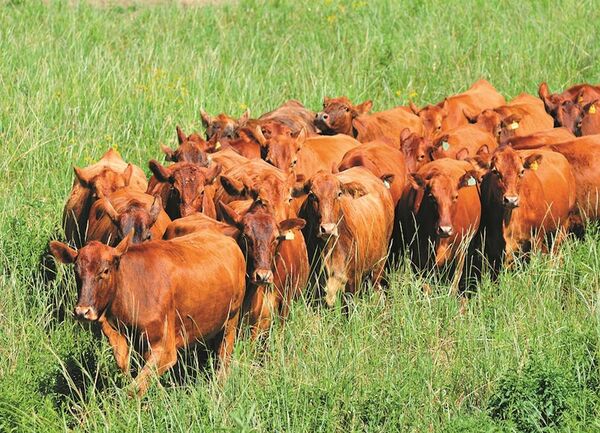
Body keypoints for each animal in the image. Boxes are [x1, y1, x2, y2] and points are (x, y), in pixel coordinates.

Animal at [49, 231, 245, 396]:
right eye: (76, 271)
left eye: (105, 271)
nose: (82, 311)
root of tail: (227, 240)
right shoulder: (119, 335)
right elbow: (127, 368)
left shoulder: (165, 348)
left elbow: (134, 388)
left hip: (231, 321)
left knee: (224, 354)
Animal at [398, 157, 482, 292]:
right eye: (431, 197)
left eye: (456, 197)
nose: (445, 229)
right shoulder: (417, 253)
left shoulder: (460, 249)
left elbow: (454, 283)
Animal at [474, 145, 576, 276]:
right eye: (495, 171)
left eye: (522, 171)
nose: (511, 200)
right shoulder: (493, 244)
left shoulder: (536, 237)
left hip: (563, 224)